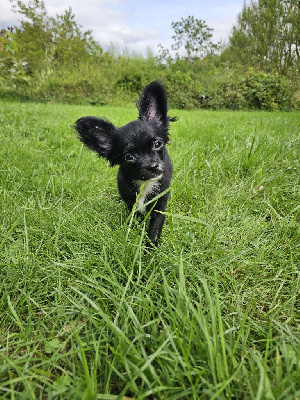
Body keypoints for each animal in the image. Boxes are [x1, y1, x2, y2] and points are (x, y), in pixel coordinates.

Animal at [74, 80, 175, 247]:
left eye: (157, 144)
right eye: (129, 157)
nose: (153, 167)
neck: (144, 184)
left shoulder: (159, 205)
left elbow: (155, 228)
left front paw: (150, 249)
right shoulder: (130, 202)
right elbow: (136, 220)